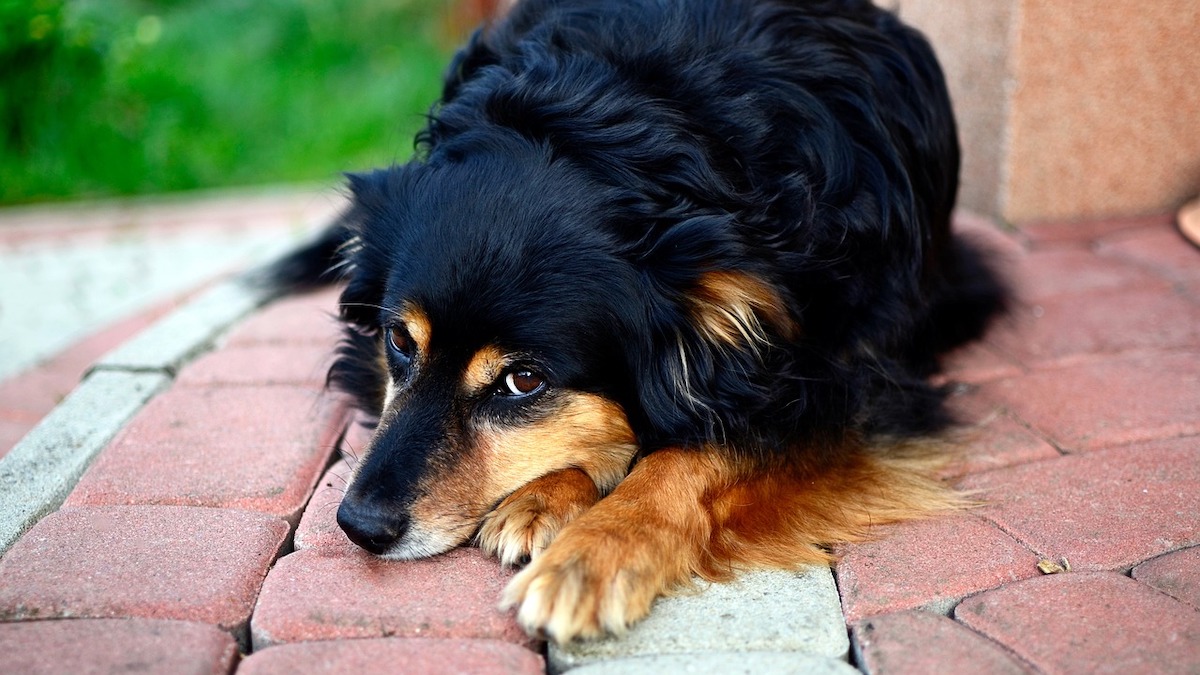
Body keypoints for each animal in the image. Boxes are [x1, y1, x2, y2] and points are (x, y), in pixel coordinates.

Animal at [270, 0, 1003, 638]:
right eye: (399, 339)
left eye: (525, 381)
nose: (359, 524)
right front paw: (547, 496)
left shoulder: (856, 388)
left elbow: (700, 453)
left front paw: (591, 554)